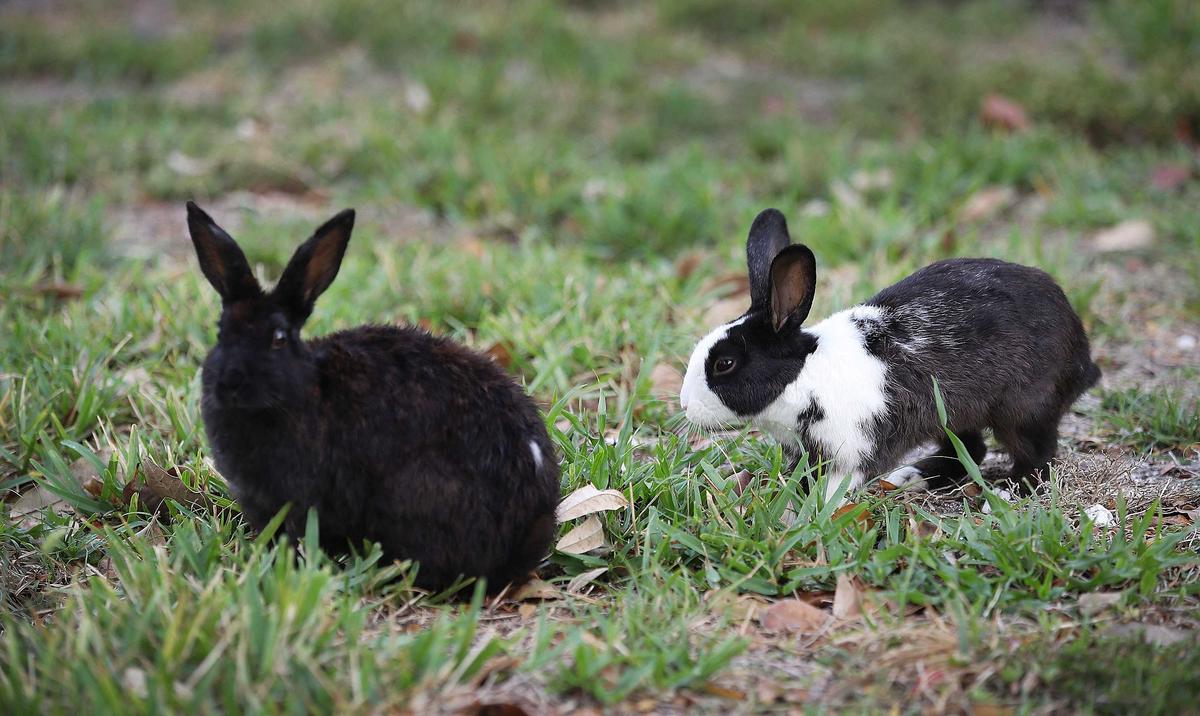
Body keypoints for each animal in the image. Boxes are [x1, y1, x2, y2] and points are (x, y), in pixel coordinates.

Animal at [680, 208, 1100, 503]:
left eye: (725, 364)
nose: (684, 406)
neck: (804, 376)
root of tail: (1082, 356)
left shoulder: (852, 451)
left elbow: (835, 487)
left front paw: (812, 513)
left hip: (1023, 410)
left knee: (1038, 456)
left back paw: (1010, 490)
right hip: (952, 414)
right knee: (970, 449)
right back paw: (910, 478)